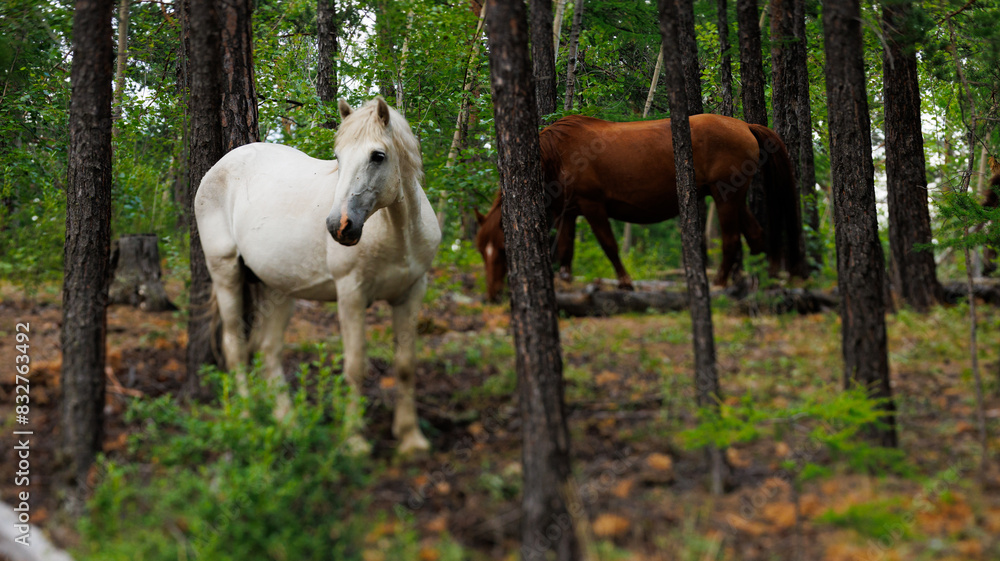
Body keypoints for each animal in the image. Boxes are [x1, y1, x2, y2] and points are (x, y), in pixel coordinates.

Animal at [195, 96, 441, 455]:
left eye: (377, 156)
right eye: (337, 157)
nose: (339, 226)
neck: (398, 233)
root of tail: (218, 167)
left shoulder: (411, 293)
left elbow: (406, 365)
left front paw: (411, 438)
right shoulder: (351, 294)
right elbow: (354, 365)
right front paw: (354, 440)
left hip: (278, 289)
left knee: (268, 350)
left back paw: (287, 421)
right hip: (225, 271)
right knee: (234, 345)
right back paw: (246, 414)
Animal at [475, 114, 807, 302]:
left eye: (504, 250)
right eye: (481, 250)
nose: (491, 295)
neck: (557, 154)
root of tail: (744, 125)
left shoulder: (593, 206)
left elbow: (608, 245)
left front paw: (625, 284)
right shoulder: (567, 212)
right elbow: (566, 249)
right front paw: (566, 282)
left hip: (726, 196)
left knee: (732, 240)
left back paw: (721, 283)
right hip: (733, 197)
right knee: (757, 236)